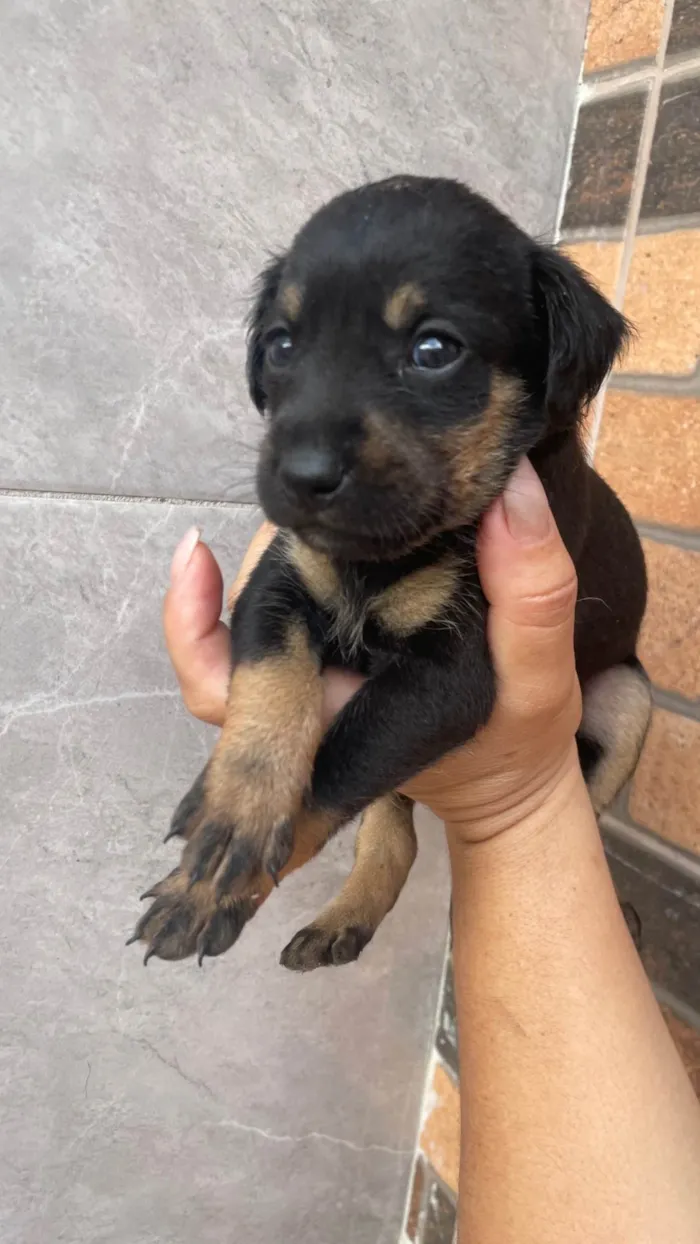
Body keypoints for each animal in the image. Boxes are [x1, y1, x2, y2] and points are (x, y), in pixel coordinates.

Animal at [129, 175, 651, 970]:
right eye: (281, 346)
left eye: (433, 349)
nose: (300, 475)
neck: (382, 556)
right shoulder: (279, 586)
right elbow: (272, 695)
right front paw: (229, 816)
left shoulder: (449, 675)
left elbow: (337, 769)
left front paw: (214, 883)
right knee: (395, 824)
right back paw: (344, 918)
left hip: (629, 699)